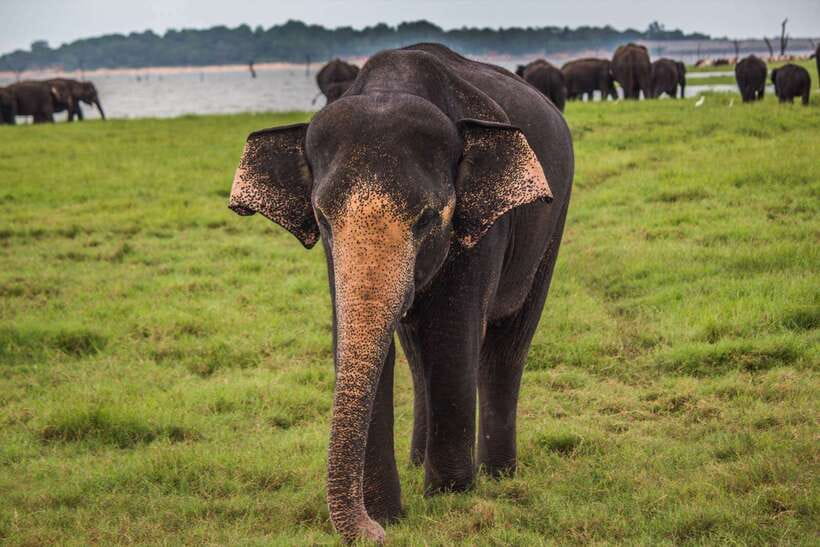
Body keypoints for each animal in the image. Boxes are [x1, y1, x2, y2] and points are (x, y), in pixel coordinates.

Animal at [228, 42, 573, 544]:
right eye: (322, 218)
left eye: (428, 218)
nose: (374, 533)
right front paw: (390, 514)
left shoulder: (482, 228)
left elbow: (451, 334)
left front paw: (449, 500)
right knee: (416, 351)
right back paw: (417, 462)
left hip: (553, 220)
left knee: (507, 344)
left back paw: (497, 475)